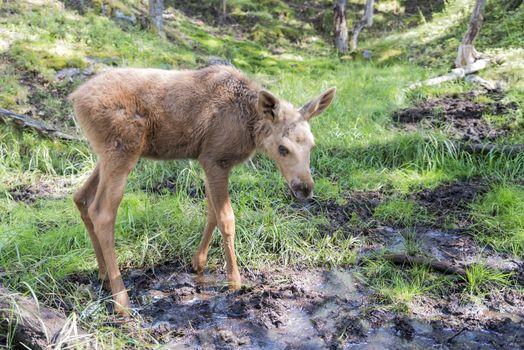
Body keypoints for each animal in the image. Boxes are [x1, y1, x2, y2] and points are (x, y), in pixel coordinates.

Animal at [70, 65, 336, 314]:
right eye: (283, 148)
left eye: (312, 145)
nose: (305, 188)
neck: (250, 129)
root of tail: (75, 98)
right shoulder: (215, 158)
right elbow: (226, 219)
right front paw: (234, 281)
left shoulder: (206, 161)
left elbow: (211, 213)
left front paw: (198, 262)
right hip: (123, 149)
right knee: (102, 212)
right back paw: (121, 300)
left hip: (106, 155)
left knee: (81, 197)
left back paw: (104, 274)